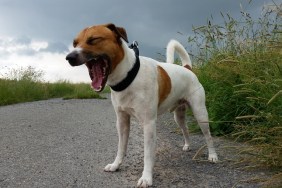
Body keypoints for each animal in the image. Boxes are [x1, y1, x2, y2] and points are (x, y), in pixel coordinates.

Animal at [65, 23, 218, 188]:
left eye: (93, 39)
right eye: (75, 43)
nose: (69, 57)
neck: (128, 77)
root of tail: (187, 68)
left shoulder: (148, 124)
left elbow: (148, 154)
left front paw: (146, 177)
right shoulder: (122, 121)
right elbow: (121, 147)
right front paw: (116, 165)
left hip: (200, 113)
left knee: (208, 135)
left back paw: (213, 155)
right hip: (179, 115)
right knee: (185, 129)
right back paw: (188, 145)